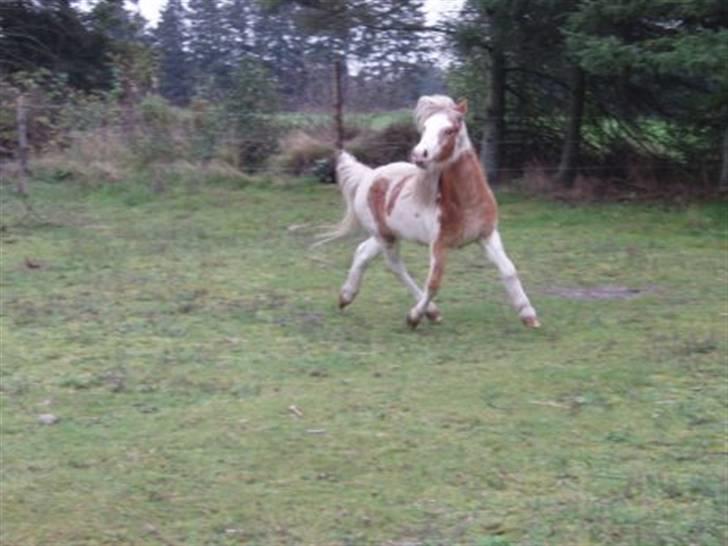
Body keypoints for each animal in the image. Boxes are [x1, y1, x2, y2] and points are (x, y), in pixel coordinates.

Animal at [318, 94, 540, 328]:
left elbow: (508, 269)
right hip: (385, 237)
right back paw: (431, 312)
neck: (467, 202)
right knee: (395, 266)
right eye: (424, 127)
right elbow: (434, 283)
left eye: (449, 130)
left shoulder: (487, 235)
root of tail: (368, 176)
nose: (419, 155)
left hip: (386, 234)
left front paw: (529, 315)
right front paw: (414, 317)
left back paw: (345, 297)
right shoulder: (439, 245)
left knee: (363, 252)